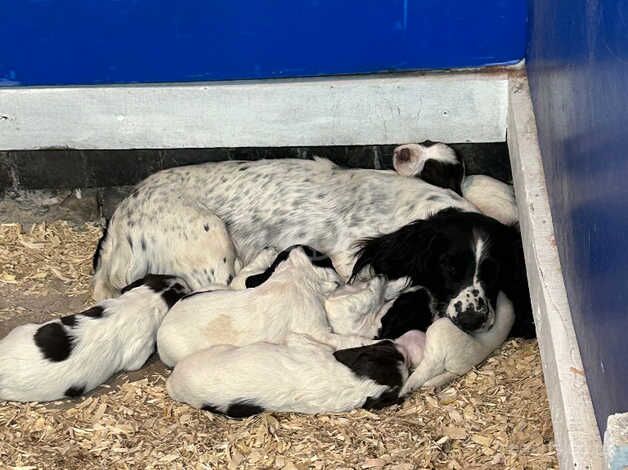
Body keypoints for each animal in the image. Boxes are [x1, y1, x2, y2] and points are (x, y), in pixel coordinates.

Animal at [166, 328, 426, 416]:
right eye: (388, 353)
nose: (403, 350)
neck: (355, 385)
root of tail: (172, 384)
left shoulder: (304, 344)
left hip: (218, 349)